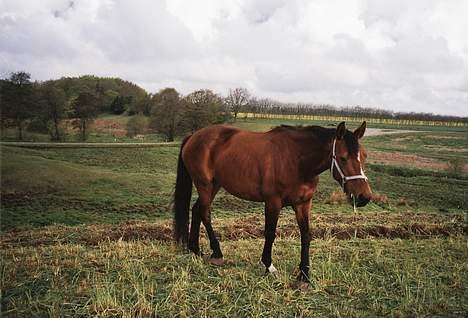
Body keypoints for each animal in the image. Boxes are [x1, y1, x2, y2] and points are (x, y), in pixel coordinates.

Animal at [174, 121, 372, 280]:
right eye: (343, 157)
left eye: (364, 155)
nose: (364, 197)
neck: (297, 159)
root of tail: (193, 136)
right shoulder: (273, 202)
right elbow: (270, 233)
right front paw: (268, 265)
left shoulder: (303, 204)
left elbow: (306, 236)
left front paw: (304, 275)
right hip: (205, 185)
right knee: (205, 213)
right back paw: (216, 252)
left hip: (214, 185)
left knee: (197, 210)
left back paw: (195, 249)